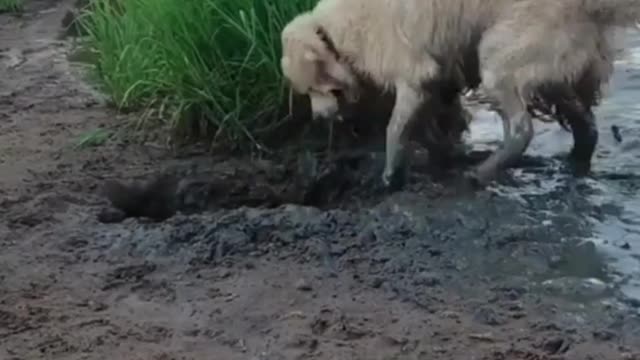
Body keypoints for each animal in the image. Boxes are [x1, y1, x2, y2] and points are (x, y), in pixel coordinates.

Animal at [282, 0, 640, 190]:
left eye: (313, 89)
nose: (319, 118)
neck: (334, 34)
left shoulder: (412, 73)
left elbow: (394, 128)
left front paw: (389, 175)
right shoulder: (436, 77)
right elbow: (428, 125)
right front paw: (439, 156)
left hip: (500, 54)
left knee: (521, 129)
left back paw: (481, 173)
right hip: (550, 61)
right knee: (585, 122)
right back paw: (576, 158)